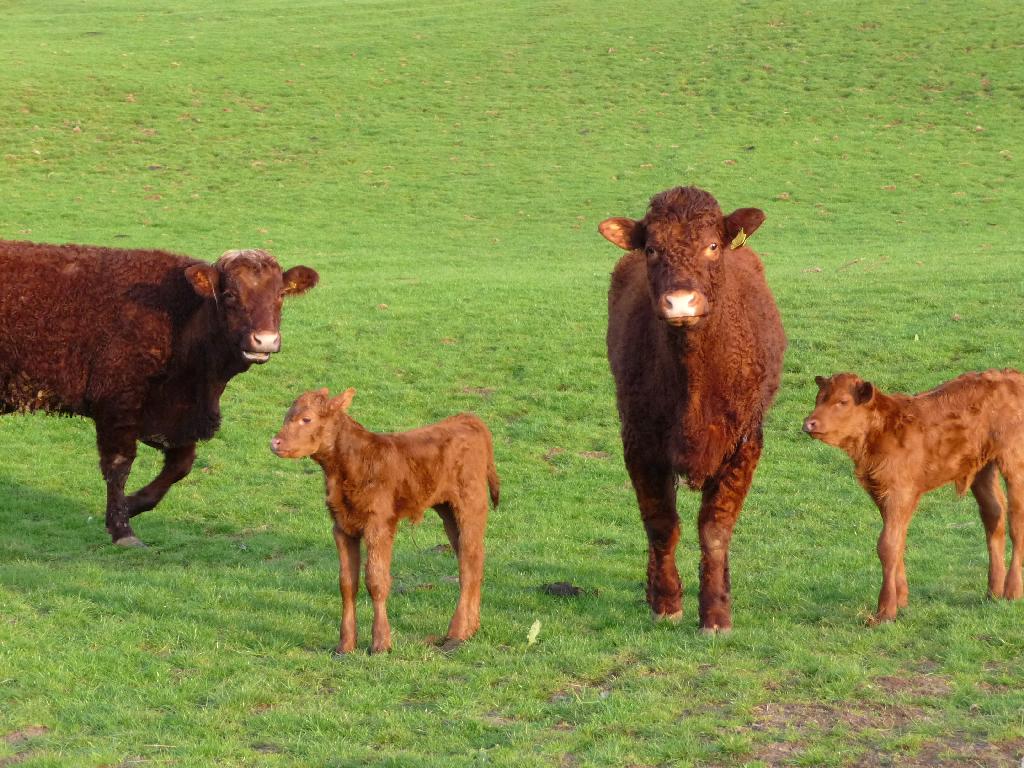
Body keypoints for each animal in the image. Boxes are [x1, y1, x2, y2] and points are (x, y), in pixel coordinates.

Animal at [0, 240, 318, 546]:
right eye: (229, 295)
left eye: (280, 295)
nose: (265, 340)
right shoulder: (119, 405)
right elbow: (118, 466)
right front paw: (121, 528)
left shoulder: (173, 418)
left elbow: (181, 466)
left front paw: (130, 505)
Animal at [271, 387, 499, 655]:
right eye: (287, 416)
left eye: (306, 419)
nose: (275, 442)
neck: (351, 464)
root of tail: (467, 419)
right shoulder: (341, 527)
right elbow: (347, 583)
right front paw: (345, 645)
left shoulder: (378, 525)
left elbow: (376, 580)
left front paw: (380, 643)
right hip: (448, 512)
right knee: (473, 559)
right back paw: (471, 628)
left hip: (470, 504)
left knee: (468, 564)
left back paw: (456, 633)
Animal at [600, 186, 786, 632]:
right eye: (652, 248)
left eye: (712, 246)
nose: (681, 302)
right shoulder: (639, 440)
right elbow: (661, 524)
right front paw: (667, 603)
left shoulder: (746, 441)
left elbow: (715, 529)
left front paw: (716, 612)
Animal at [803, 370, 1024, 623]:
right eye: (819, 398)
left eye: (843, 401)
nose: (809, 423)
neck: (880, 433)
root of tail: (1011, 374)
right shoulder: (883, 493)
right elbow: (897, 542)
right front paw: (901, 600)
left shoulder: (900, 492)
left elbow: (887, 545)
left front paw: (885, 611)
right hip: (982, 468)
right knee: (994, 516)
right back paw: (993, 592)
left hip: (1014, 462)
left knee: (1016, 522)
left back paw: (1012, 590)